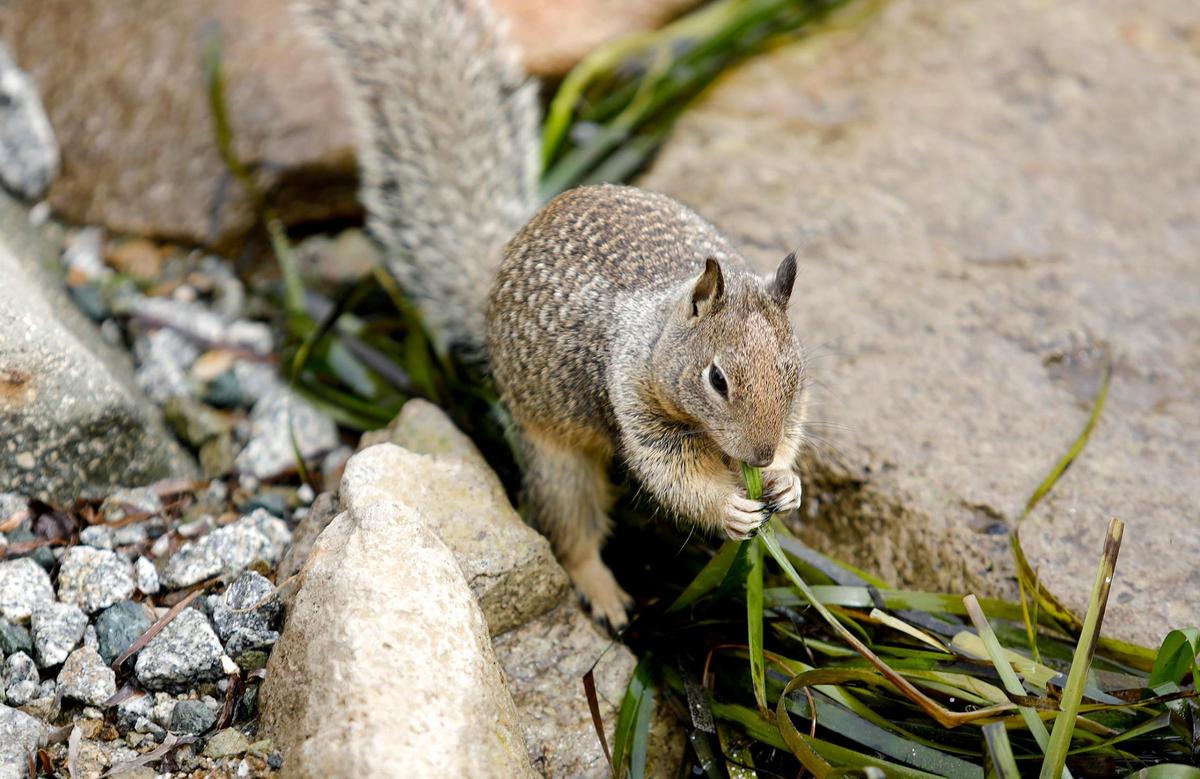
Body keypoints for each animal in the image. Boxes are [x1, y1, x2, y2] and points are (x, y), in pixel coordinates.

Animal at [300, 0, 809, 629]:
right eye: (716, 379)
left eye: (794, 373)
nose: (758, 456)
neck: (658, 326)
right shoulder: (633, 401)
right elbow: (671, 476)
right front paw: (729, 508)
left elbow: (793, 433)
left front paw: (786, 480)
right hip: (556, 461)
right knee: (571, 531)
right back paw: (605, 593)